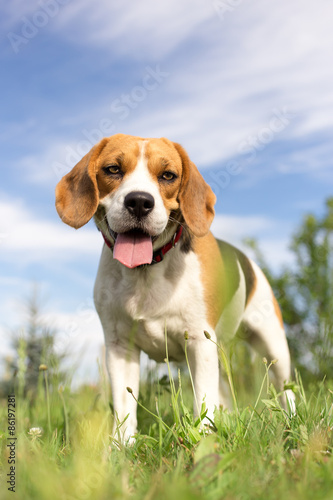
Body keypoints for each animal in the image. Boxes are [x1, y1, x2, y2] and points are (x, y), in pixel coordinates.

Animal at [55, 133, 294, 442]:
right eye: (113, 169)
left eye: (168, 175)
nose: (139, 202)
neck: (146, 271)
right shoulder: (120, 347)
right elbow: (124, 409)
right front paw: (122, 448)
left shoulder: (199, 342)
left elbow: (203, 403)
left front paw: (203, 442)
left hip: (273, 347)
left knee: (286, 390)